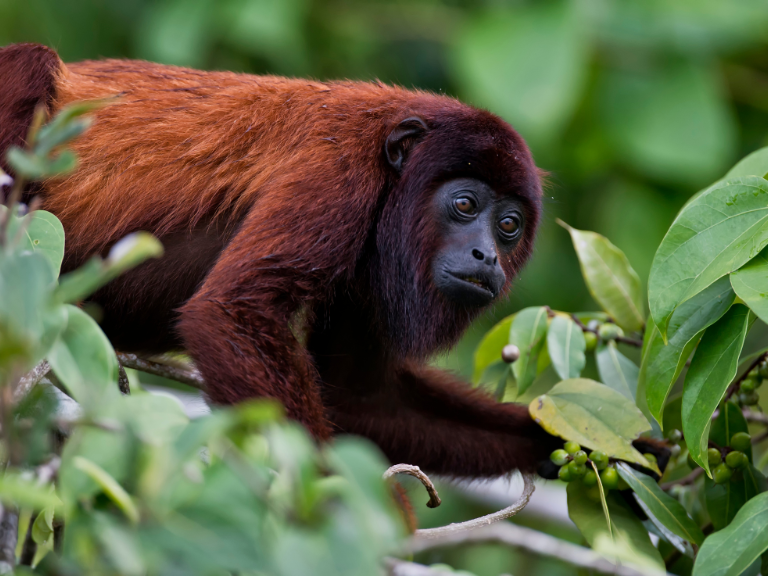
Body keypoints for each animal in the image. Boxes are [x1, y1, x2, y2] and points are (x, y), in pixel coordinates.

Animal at [3, 42, 568, 476]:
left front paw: (552, 437)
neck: (395, 168)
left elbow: (361, 398)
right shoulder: (337, 169)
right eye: (466, 204)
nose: (486, 255)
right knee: (32, 59)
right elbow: (232, 311)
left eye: (510, 226)